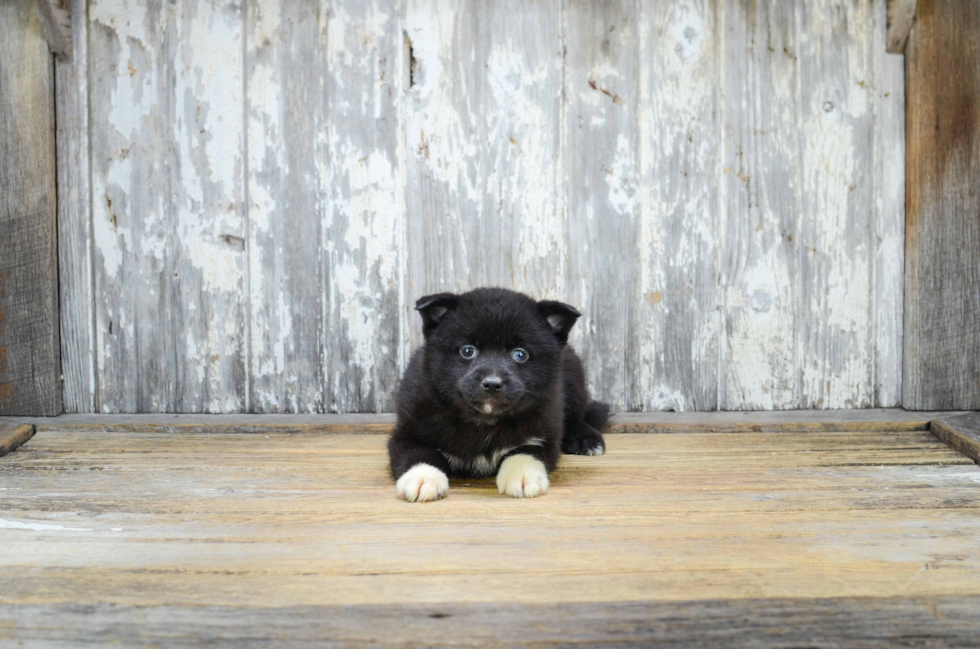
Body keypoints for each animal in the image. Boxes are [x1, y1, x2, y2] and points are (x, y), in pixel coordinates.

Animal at [386, 286, 608, 504]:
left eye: (520, 354)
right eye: (468, 351)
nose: (492, 384)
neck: (484, 422)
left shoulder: (545, 432)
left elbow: (525, 451)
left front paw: (522, 475)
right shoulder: (408, 432)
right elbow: (419, 454)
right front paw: (423, 477)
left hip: (573, 375)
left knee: (578, 415)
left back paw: (586, 439)